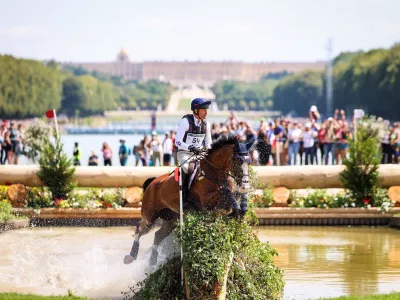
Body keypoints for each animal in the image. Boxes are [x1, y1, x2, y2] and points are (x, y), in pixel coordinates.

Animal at [123, 135, 255, 266]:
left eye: (249, 162)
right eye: (237, 161)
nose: (245, 187)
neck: (212, 172)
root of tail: (152, 183)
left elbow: (231, 204)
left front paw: (237, 213)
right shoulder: (206, 201)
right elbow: (224, 199)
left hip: (172, 219)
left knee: (158, 235)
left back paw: (152, 261)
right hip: (150, 216)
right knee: (139, 228)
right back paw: (131, 256)